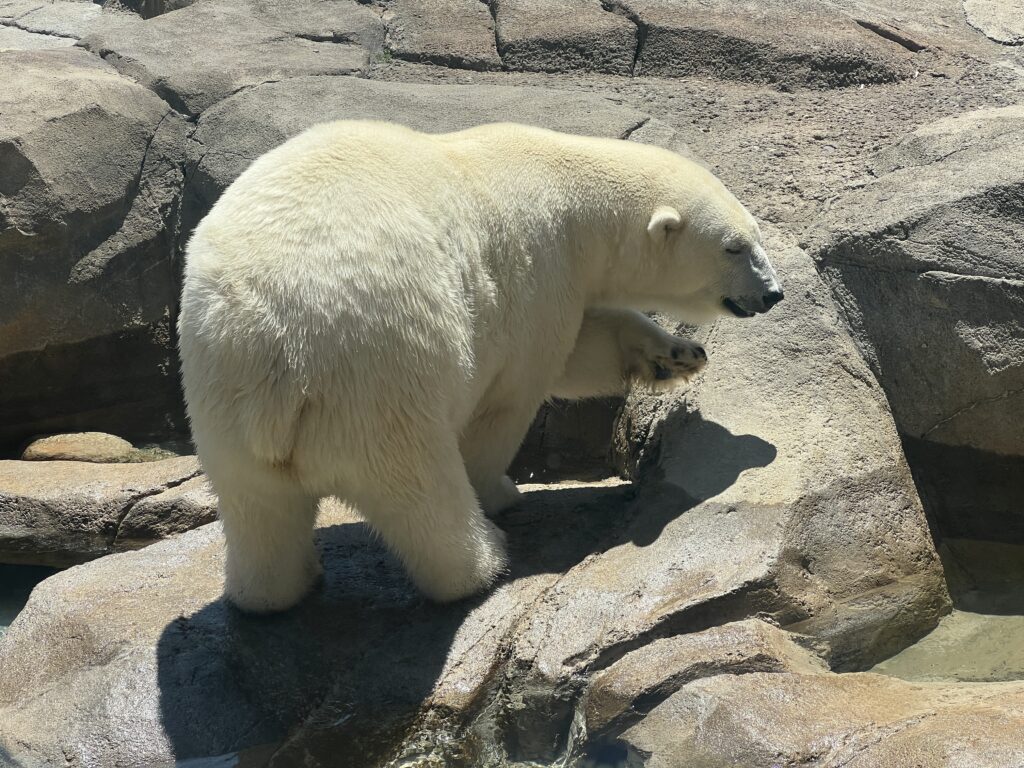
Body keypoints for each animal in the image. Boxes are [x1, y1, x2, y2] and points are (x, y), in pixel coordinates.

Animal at [178, 121, 782, 614]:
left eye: (756, 235)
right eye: (734, 247)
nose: (773, 293)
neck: (568, 183)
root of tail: (274, 352)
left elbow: (585, 344)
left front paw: (678, 356)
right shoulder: (537, 266)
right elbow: (526, 384)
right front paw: (502, 488)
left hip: (219, 398)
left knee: (257, 509)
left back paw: (270, 592)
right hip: (376, 374)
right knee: (419, 485)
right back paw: (484, 560)